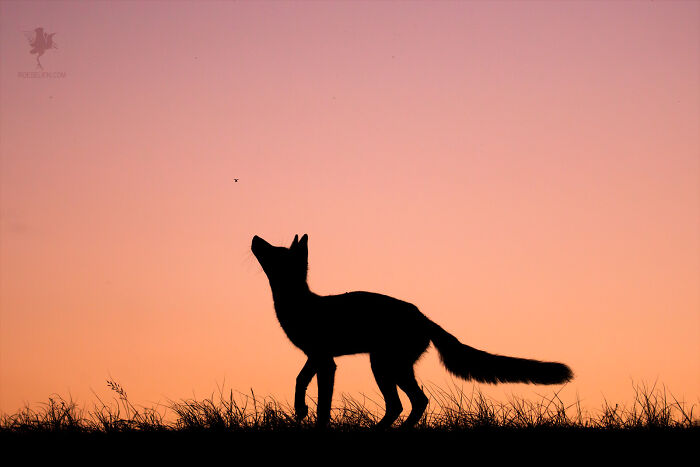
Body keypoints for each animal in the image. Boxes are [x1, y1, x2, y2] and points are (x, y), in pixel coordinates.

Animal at [252, 236, 576, 430]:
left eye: (274, 252)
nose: (255, 238)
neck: (301, 304)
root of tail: (424, 317)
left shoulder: (326, 362)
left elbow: (323, 404)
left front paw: (317, 424)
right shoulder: (317, 357)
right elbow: (299, 381)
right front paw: (300, 409)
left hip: (384, 366)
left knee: (411, 402)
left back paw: (388, 433)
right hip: (390, 367)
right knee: (407, 404)